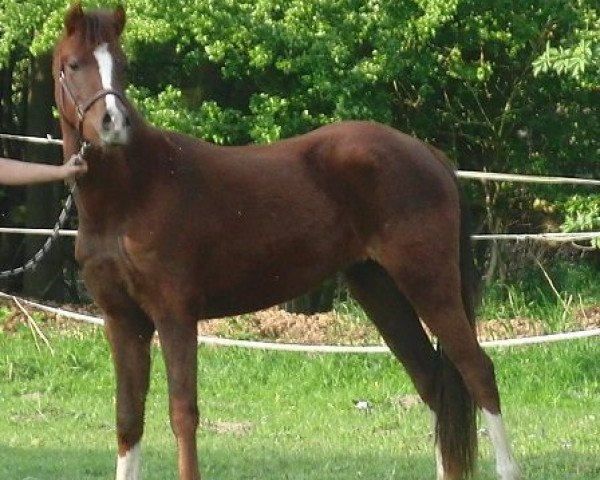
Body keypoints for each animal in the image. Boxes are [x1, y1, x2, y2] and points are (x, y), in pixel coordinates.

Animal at [54, 3, 516, 480]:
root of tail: (430, 155)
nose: (113, 124)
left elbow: (183, 414)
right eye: (72, 64)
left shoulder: (174, 314)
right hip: (380, 289)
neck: (133, 194)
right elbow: (128, 418)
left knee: (478, 372)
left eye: (123, 65)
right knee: (432, 381)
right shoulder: (123, 321)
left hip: (429, 284)